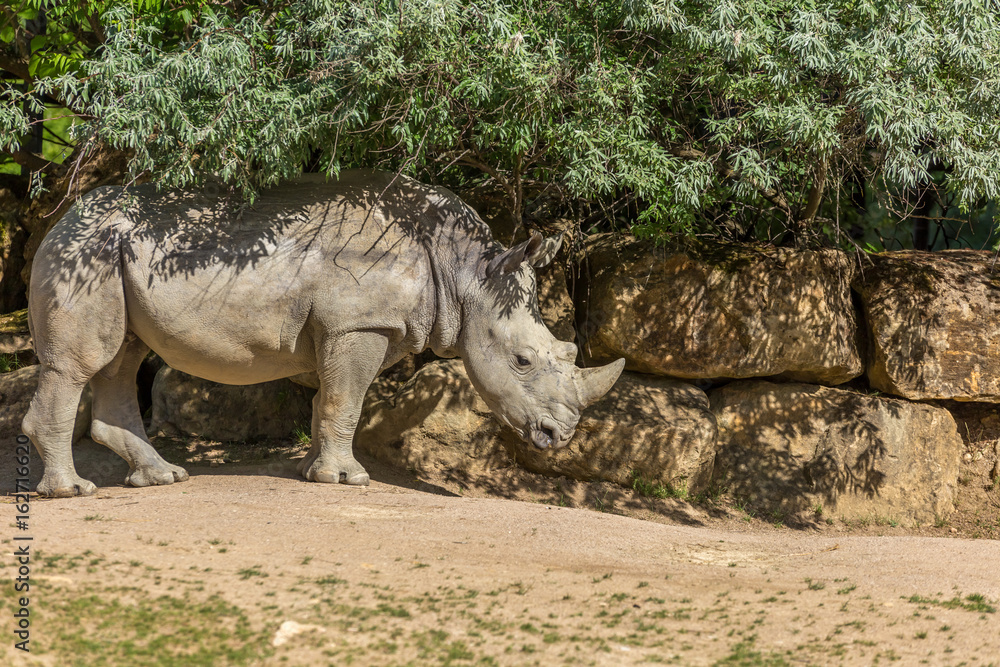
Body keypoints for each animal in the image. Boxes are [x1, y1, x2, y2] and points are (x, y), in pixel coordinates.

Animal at [22, 170, 624, 497]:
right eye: (523, 361)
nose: (559, 436)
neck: (467, 272)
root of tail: (59, 218)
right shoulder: (358, 322)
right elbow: (347, 400)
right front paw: (349, 480)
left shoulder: (345, 327)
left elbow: (327, 401)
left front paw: (313, 472)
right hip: (87, 252)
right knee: (82, 363)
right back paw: (73, 491)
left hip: (111, 255)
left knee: (121, 360)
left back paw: (165, 477)